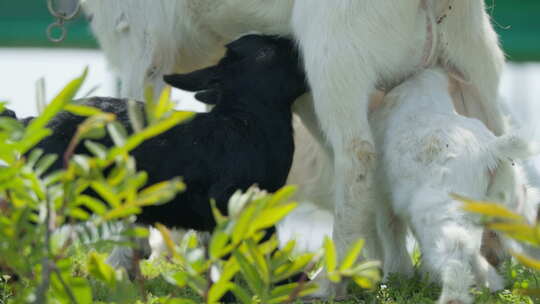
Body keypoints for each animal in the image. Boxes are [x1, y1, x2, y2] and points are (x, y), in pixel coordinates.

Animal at [83, 1, 506, 298]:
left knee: (357, 154)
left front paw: (122, 262)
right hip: (473, 57)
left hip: (336, 57)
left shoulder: (141, 43)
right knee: (503, 147)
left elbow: (134, 138)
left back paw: (330, 282)